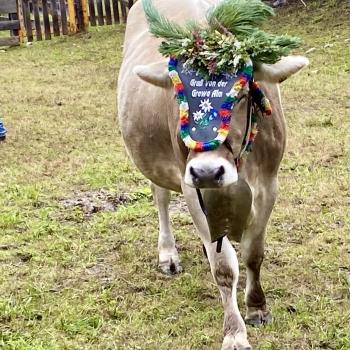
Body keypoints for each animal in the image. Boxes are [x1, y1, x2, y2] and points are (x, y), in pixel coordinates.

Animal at [116, 1, 308, 348]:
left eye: (242, 94)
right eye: (180, 97)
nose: (207, 170)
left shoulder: (269, 184)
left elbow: (253, 253)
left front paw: (257, 307)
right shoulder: (192, 187)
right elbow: (224, 269)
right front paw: (234, 333)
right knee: (161, 198)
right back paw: (168, 255)